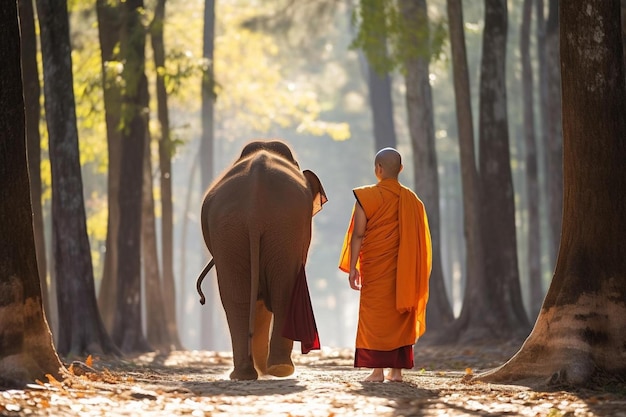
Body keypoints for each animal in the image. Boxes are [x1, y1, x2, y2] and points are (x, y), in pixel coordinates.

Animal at [196, 141, 326, 380]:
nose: (202, 299)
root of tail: (254, 205)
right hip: (278, 227)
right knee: (277, 293)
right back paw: (277, 369)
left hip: (232, 230)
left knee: (238, 298)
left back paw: (250, 373)